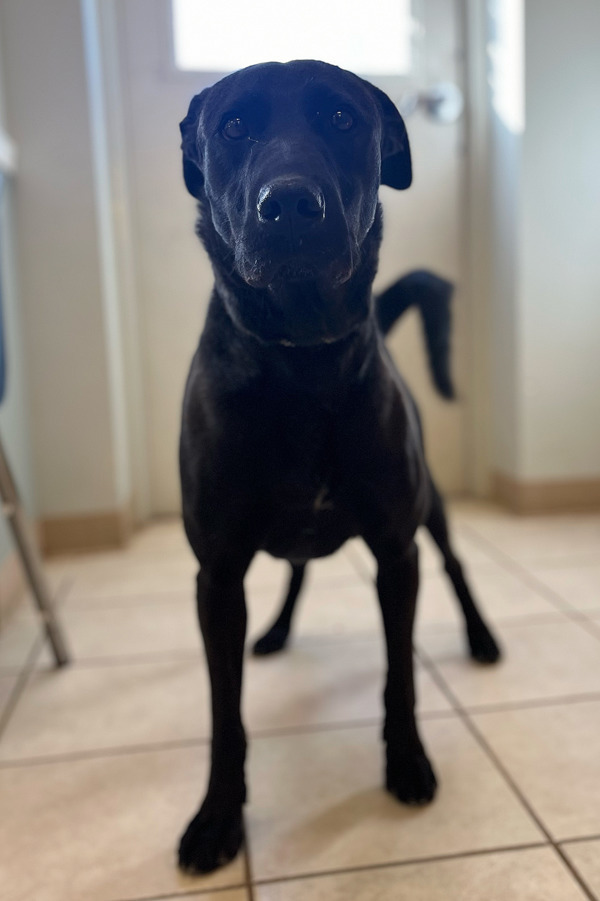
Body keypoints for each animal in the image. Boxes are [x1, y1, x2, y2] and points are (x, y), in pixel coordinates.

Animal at [179, 59, 502, 876]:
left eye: (343, 119)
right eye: (234, 126)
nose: (291, 205)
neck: (302, 362)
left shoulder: (395, 552)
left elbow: (400, 676)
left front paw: (408, 762)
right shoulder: (217, 576)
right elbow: (223, 713)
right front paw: (217, 816)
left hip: (432, 511)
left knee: (456, 563)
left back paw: (482, 637)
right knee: (296, 569)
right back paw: (274, 632)